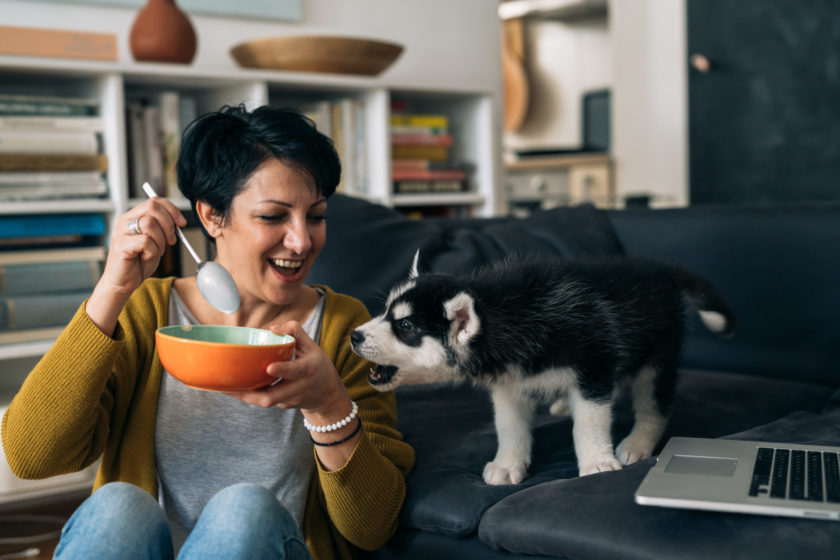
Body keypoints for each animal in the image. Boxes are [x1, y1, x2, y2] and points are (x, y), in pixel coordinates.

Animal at [352, 252, 732, 484]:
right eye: (385, 312)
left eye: (406, 327)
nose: (354, 336)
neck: (505, 316)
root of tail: (662, 269)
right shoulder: (509, 386)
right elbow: (510, 427)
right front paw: (508, 464)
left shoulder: (593, 365)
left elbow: (589, 424)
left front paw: (596, 462)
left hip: (657, 355)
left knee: (654, 404)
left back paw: (639, 442)